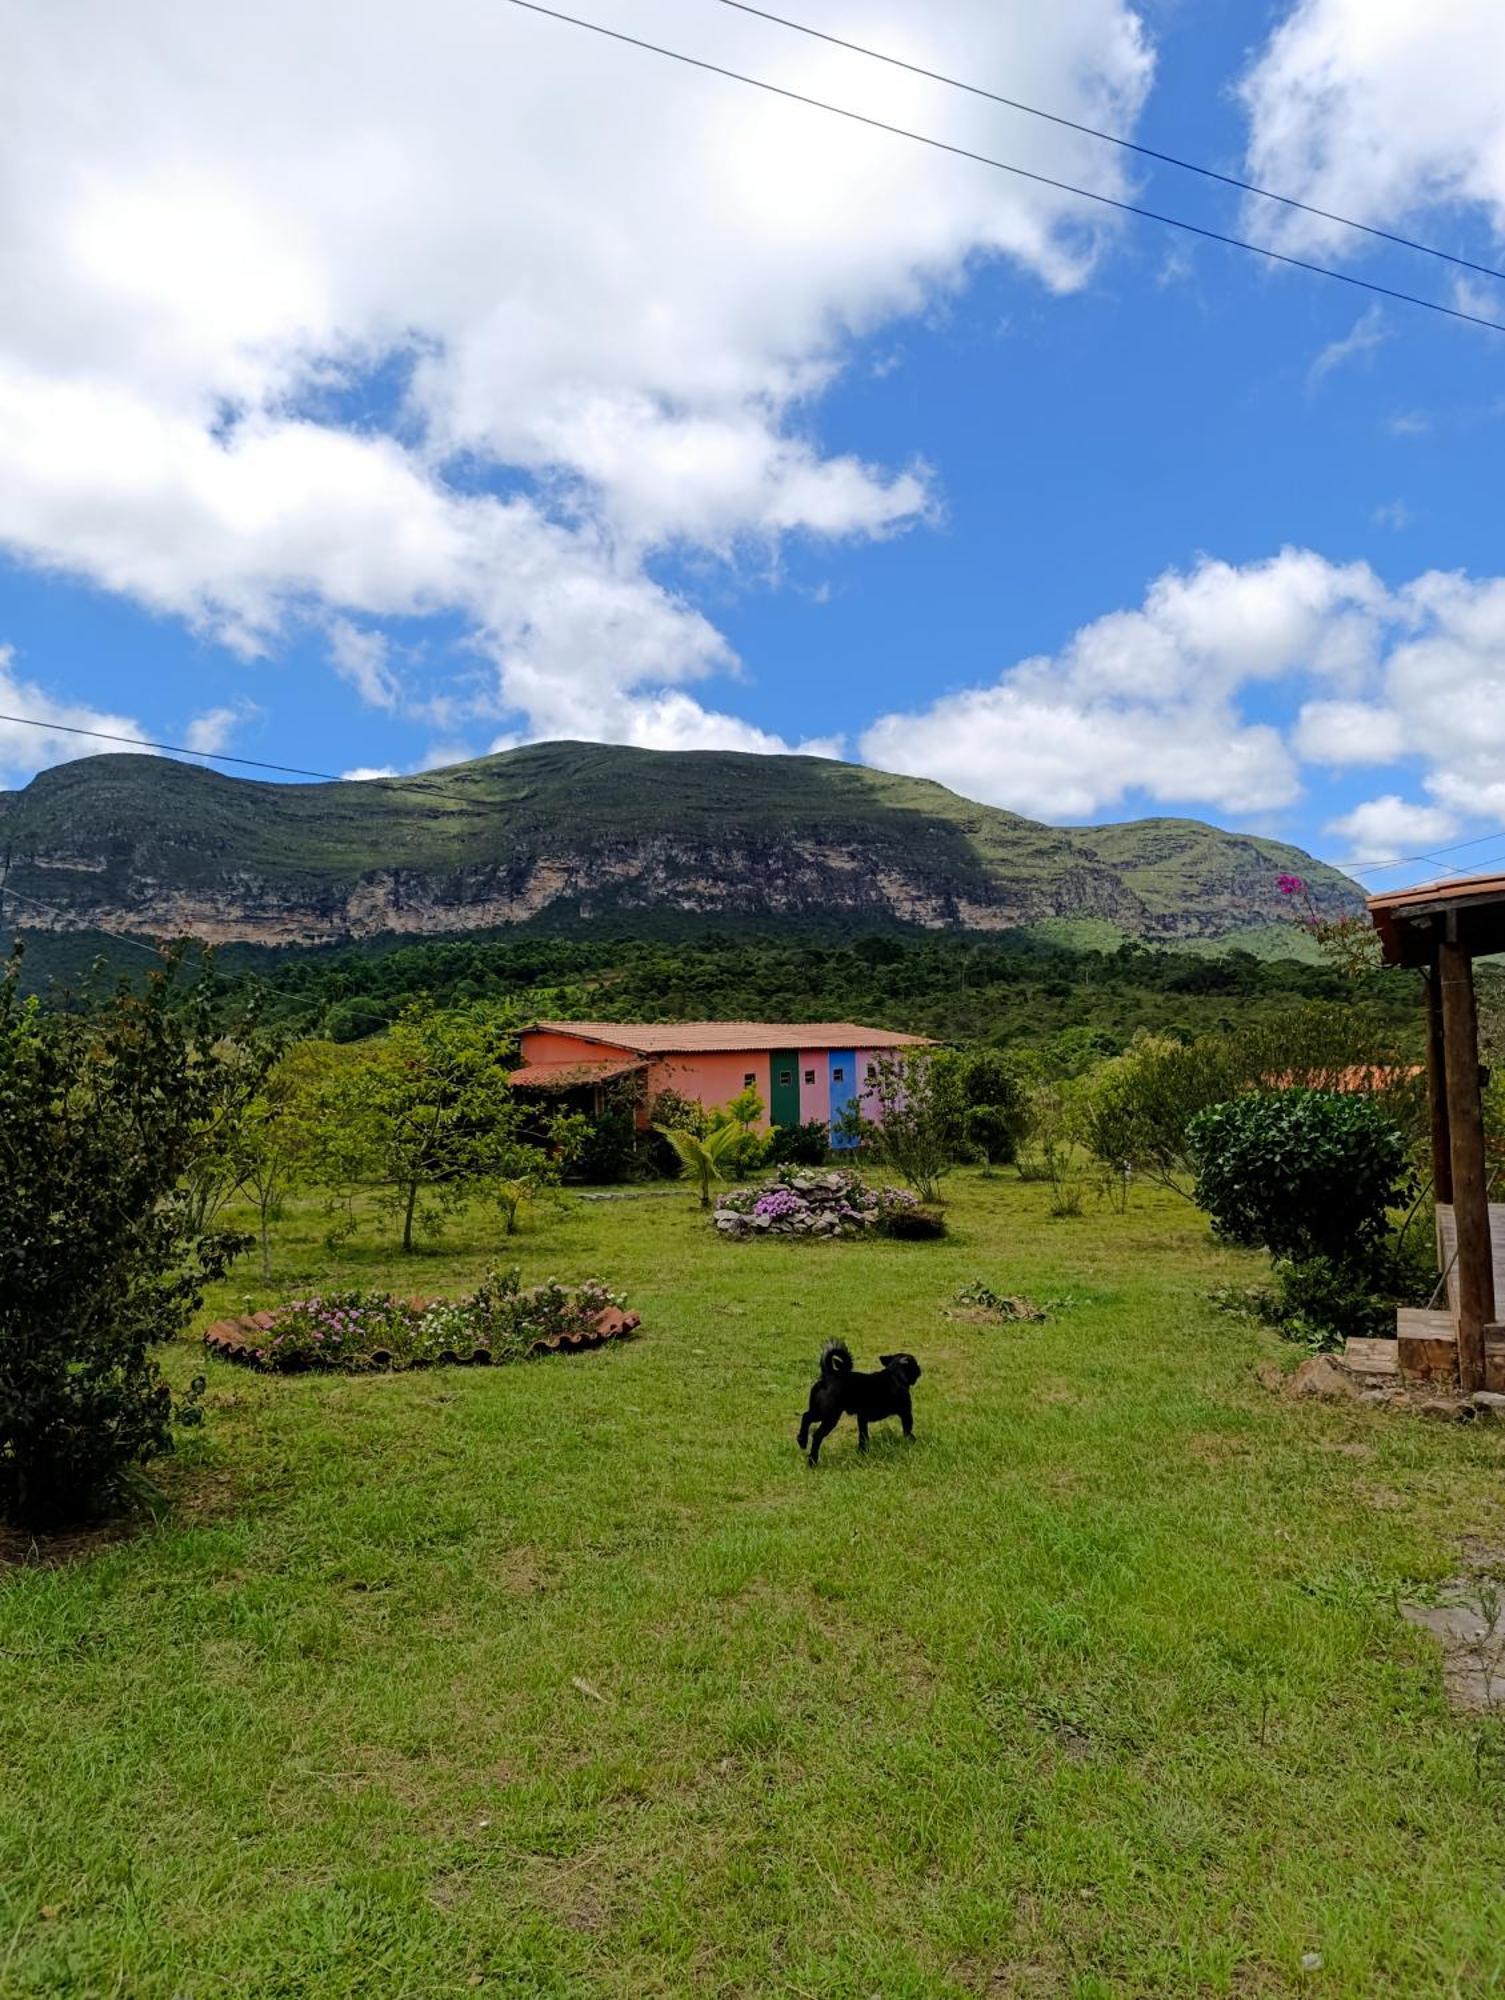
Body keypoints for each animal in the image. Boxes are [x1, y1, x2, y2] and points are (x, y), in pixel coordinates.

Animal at [792, 1344, 924, 1472]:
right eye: (914, 1364)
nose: (919, 1369)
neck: (895, 1374)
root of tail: (829, 1376)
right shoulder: (906, 1413)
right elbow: (907, 1431)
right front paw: (912, 1442)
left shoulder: (862, 1418)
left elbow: (863, 1437)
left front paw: (863, 1452)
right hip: (829, 1416)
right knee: (816, 1434)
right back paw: (812, 1461)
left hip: (820, 1412)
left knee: (806, 1416)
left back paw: (802, 1441)